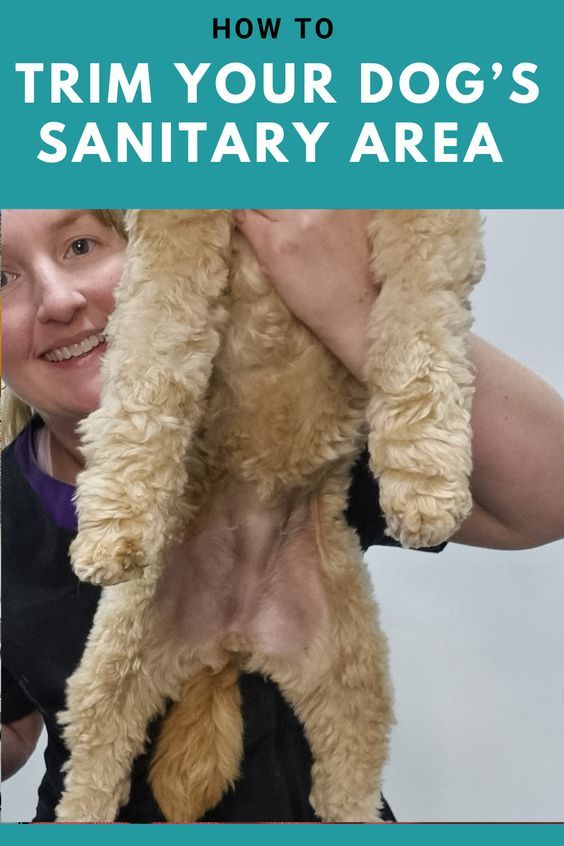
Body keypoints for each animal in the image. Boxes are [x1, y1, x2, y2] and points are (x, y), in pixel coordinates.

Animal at [54, 210, 484, 820]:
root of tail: (233, 639)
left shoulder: (430, 226)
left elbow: (419, 334)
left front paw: (427, 484)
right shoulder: (172, 235)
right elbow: (148, 365)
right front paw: (113, 524)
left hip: (355, 678)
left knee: (348, 781)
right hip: (114, 661)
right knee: (93, 766)